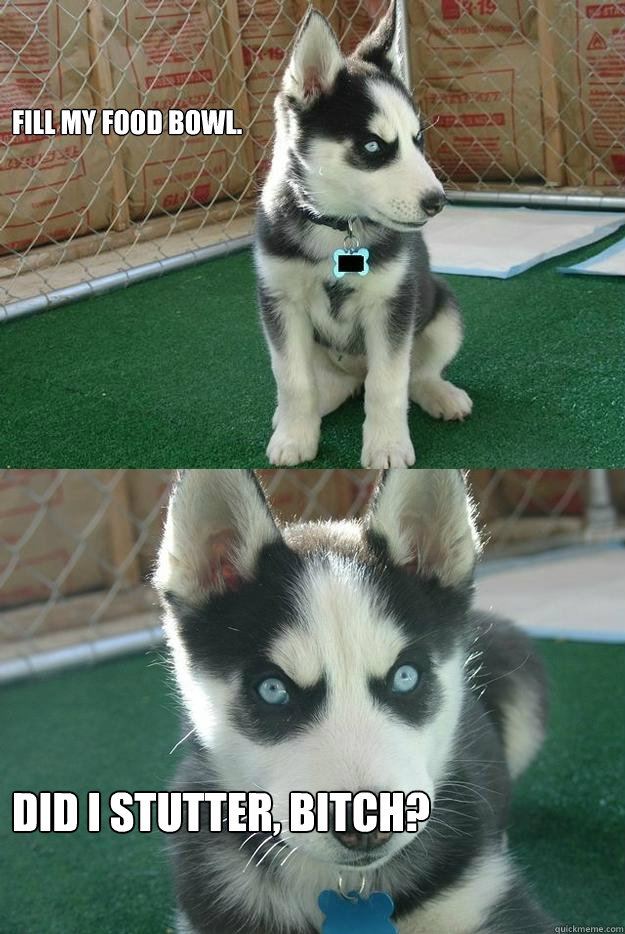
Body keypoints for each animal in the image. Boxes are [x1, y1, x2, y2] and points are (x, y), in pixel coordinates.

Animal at [256, 0, 470, 468]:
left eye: (417, 140)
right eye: (373, 146)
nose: (438, 201)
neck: (338, 226)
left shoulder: (392, 305)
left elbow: (388, 383)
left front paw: (387, 445)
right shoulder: (280, 303)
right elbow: (292, 379)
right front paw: (294, 437)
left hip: (444, 311)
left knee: (414, 374)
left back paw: (440, 394)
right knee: (327, 385)